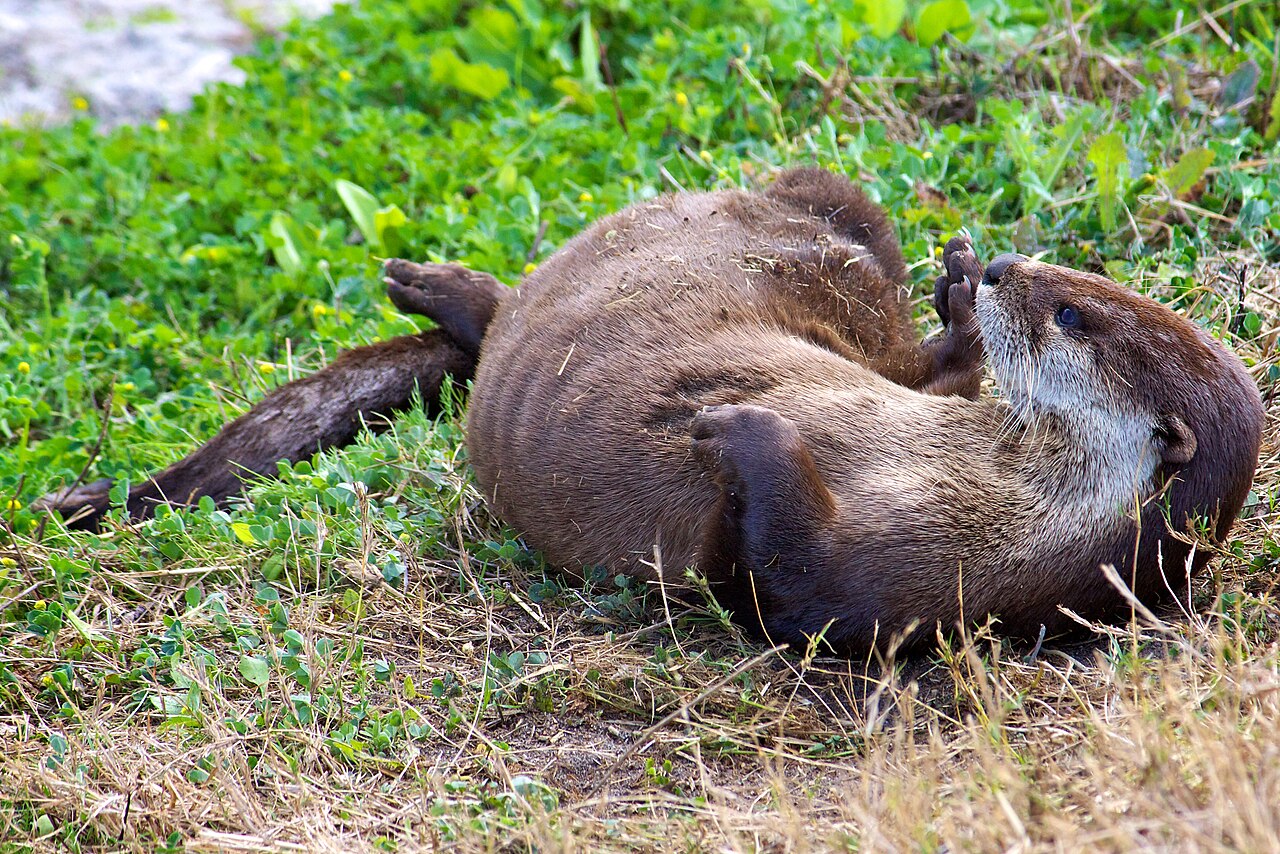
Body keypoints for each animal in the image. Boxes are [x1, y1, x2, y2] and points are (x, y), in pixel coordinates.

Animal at [42, 168, 1263, 651]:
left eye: (1069, 316)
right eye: (1085, 284)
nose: (1010, 266)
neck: (991, 492)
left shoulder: (900, 583)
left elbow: (787, 575)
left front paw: (738, 427)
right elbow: (939, 380)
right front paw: (962, 285)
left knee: (494, 324)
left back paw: (430, 284)